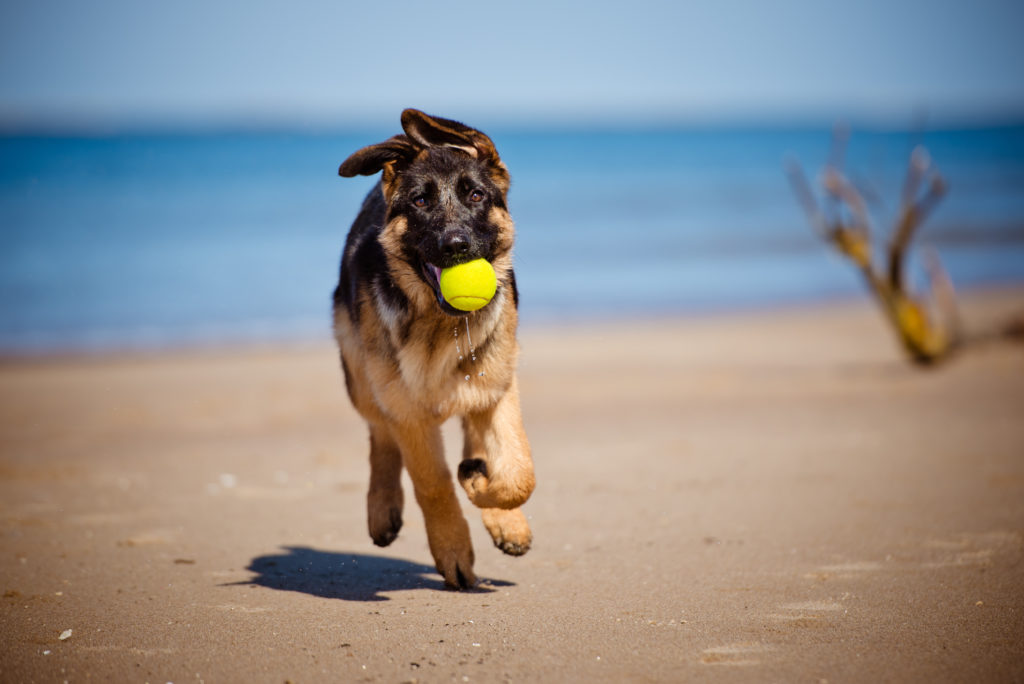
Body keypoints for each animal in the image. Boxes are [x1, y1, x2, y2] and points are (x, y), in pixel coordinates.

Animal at [333, 108, 536, 589]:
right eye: (420, 202)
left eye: (477, 195)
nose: (457, 246)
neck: (441, 327)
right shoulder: (409, 413)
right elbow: (434, 484)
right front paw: (453, 549)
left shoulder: (497, 389)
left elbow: (518, 471)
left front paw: (493, 498)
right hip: (362, 375)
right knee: (379, 430)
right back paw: (382, 507)